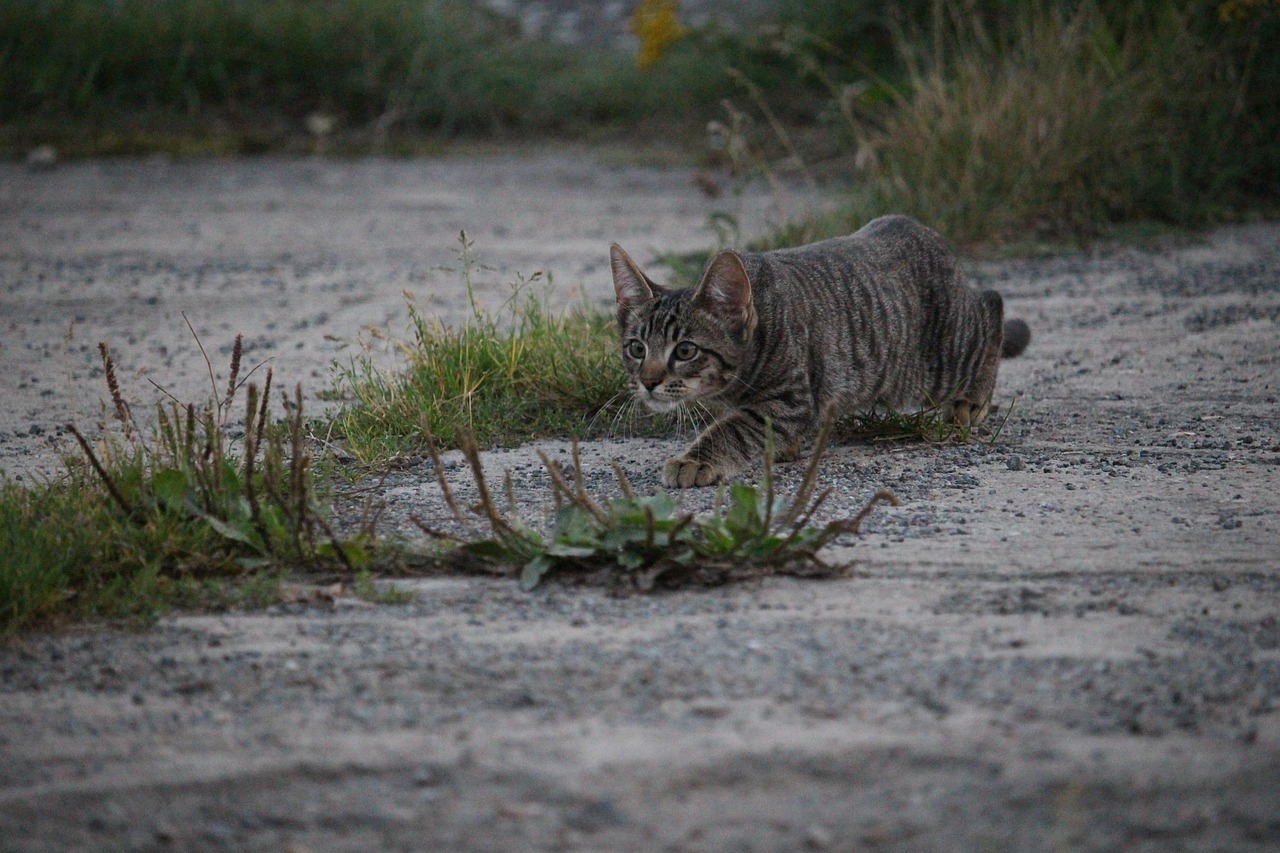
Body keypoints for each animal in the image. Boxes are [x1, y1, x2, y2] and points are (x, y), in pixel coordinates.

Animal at [609, 212, 1029, 484]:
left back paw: (972, 400)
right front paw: (784, 448)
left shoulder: (790, 398)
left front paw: (696, 461)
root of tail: (924, 231)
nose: (648, 382)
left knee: (991, 306)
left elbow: (735, 428)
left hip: (938, 363)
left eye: (685, 351)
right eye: (636, 349)